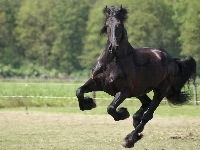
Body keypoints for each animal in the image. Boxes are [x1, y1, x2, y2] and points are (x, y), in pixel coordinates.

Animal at [76, 5, 196, 148]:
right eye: (107, 25)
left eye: (119, 25)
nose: (113, 47)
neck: (113, 61)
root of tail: (172, 59)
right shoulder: (97, 83)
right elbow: (79, 91)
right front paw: (88, 104)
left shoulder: (124, 91)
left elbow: (111, 108)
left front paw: (122, 113)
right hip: (139, 91)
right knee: (146, 103)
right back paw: (135, 121)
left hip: (160, 91)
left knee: (148, 114)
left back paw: (130, 138)